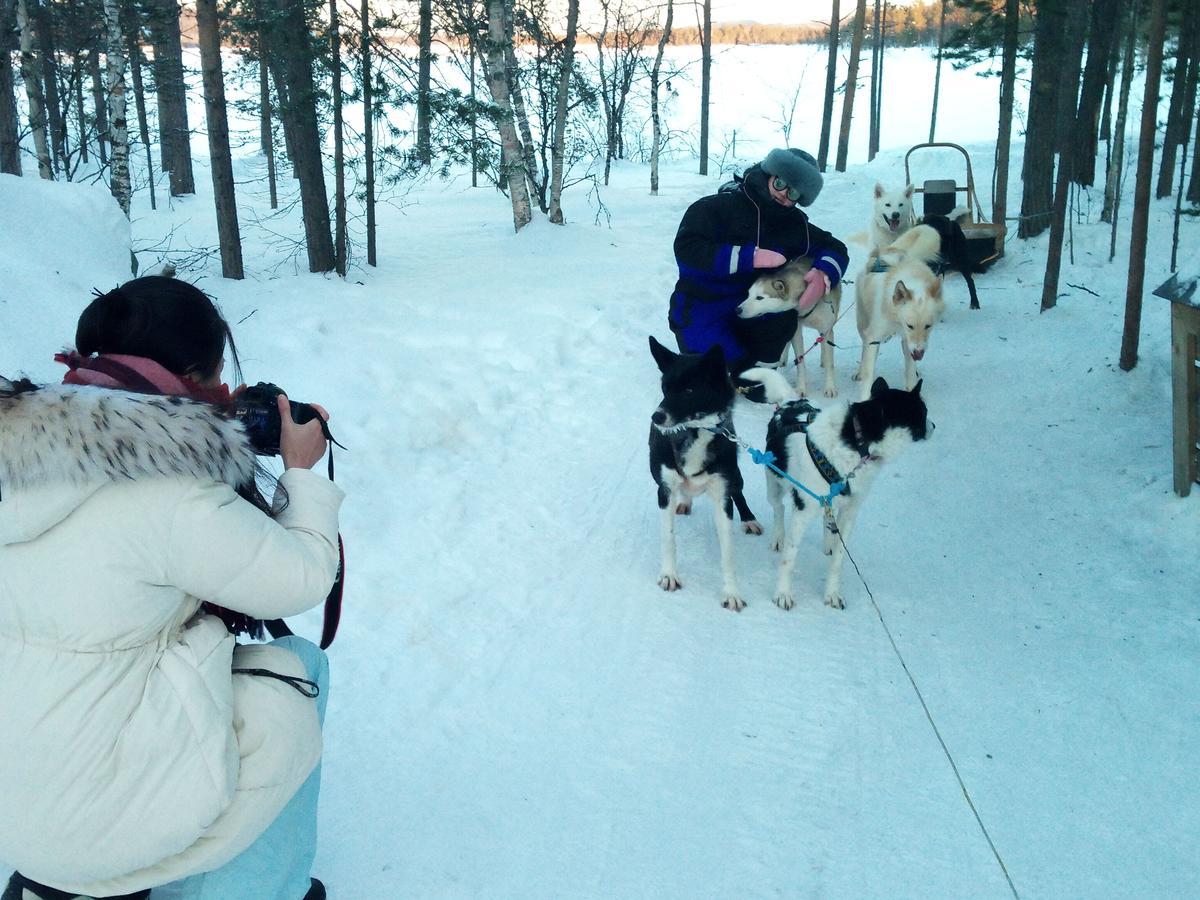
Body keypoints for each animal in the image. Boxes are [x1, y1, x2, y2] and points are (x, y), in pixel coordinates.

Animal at [652, 338, 763, 614]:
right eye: (665, 388)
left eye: (690, 390)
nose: (656, 416)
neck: (695, 432)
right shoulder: (664, 490)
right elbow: (668, 537)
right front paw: (669, 575)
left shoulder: (723, 496)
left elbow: (728, 553)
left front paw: (731, 592)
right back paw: (685, 501)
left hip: (735, 476)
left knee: (739, 493)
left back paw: (749, 519)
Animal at [734, 367, 931, 614]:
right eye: (923, 412)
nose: (934, 427)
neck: (857, 442)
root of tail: (792, 401)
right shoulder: (802, 511)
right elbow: (789, 558)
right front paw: (783, 594)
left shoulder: (850, 513)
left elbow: (838, 558)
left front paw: (832, 593)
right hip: (775, 482)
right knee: (779, 509)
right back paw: (779, 536)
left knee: (827, 518)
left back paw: (828, 540)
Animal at [854, 224, 945, 400]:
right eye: (910, 326)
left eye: (928, 326)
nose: (919, 353)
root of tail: (889, 249)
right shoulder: (874, 337)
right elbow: (868, 373)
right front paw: (864, 397)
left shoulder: (909, 342)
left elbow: (910, 373)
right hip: (863, 325)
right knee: (864, 349)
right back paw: (859, 371)